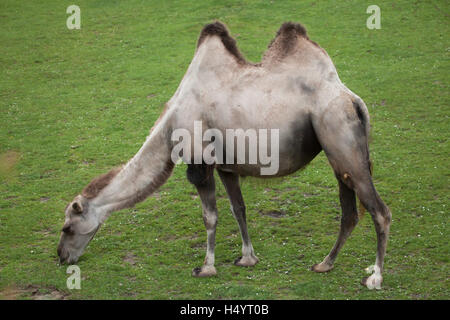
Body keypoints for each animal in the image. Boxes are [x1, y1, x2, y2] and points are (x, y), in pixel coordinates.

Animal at [59, 21, 390, 288]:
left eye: (67, 227)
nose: (61, 256)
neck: (169, 127)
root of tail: (352, 99)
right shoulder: (226, 166)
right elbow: (237, 209)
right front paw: (247, 258)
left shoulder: (199, 163)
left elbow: (210, 216)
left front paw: (206, 268)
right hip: (338, 156)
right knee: (350, 213)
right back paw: (324, 264)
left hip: (341, 137)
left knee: (379, 211)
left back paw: (374, 277)